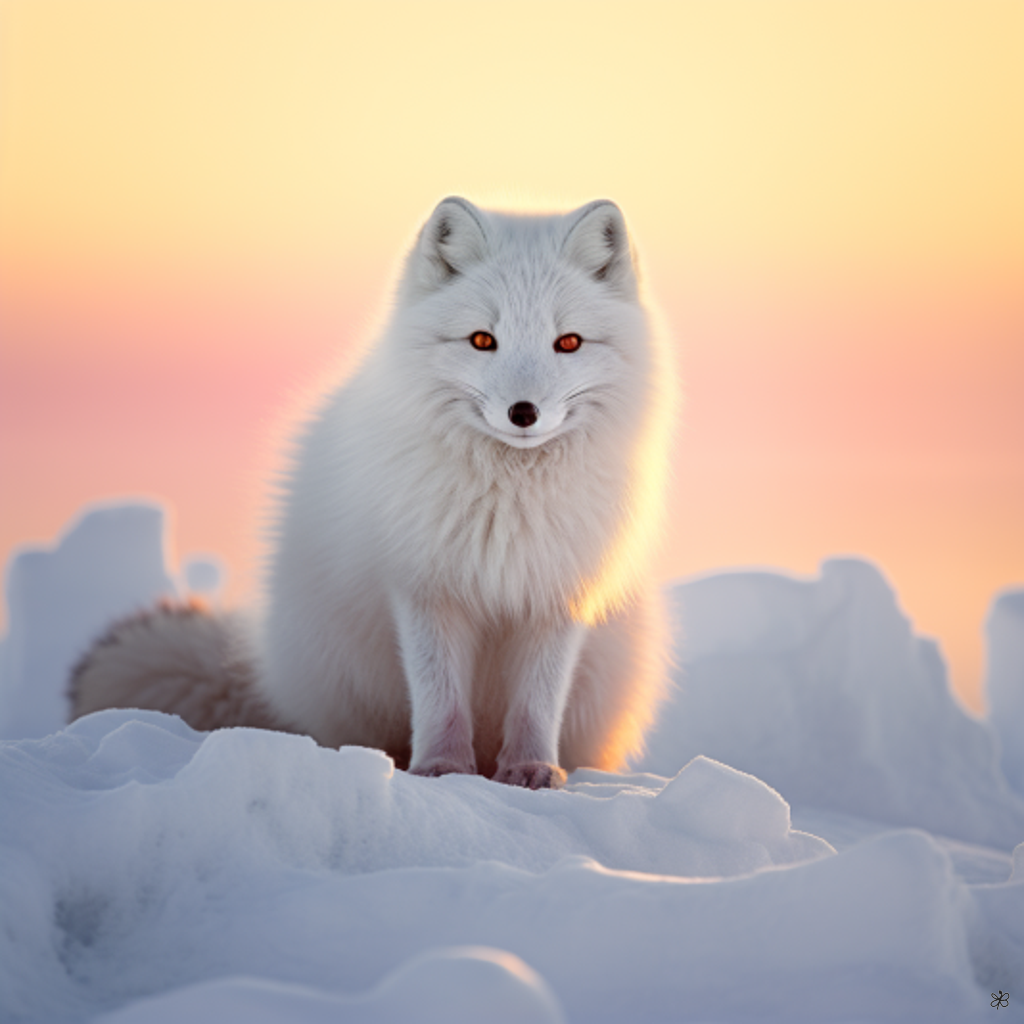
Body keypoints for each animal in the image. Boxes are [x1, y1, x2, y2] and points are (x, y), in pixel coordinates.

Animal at [70, 197, 677, 788]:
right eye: (483, 340)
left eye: (567, 343)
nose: (522, 412)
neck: (509, 500)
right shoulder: (424, 586)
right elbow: (438, 696)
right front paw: (441, 770)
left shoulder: (556, 593)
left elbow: (537, 703)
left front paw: (530, 770)